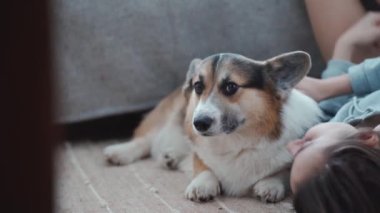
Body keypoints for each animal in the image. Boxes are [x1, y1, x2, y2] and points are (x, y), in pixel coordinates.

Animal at [104, 51, 324, 203]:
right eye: (198, 86)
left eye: (231, 86)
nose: (199, 123)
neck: (237, 142)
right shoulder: (199, 151)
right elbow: (203, 165)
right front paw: (202, 185)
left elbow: (285, 171)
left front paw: (271, 184)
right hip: (168, 116)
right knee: (144, 140)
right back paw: (119, 152)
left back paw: (171, 156)